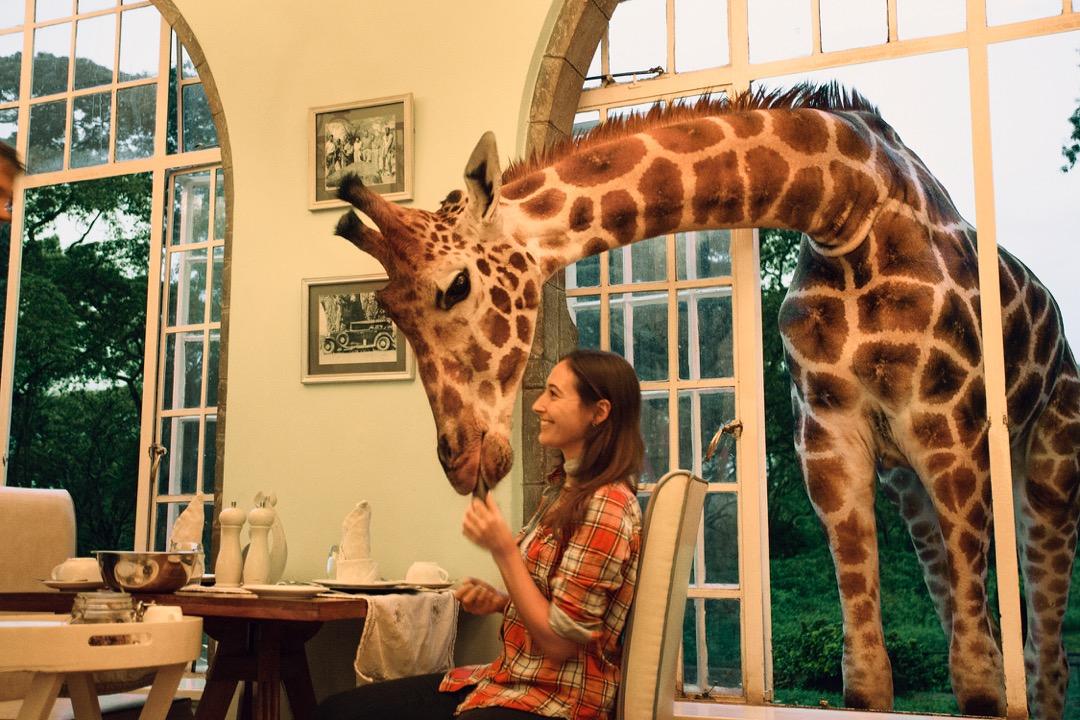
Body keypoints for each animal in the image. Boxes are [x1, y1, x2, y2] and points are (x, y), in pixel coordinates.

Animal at [330, 83, 1080, 718]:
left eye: (456, 286)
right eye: (388, 312)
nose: (463, 460)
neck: (850, 205)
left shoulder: (947, 423)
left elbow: (979, 685)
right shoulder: (829, 436)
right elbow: (867, 682)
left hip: (1043, 467)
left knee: (1043, 644)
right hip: (910, 489)